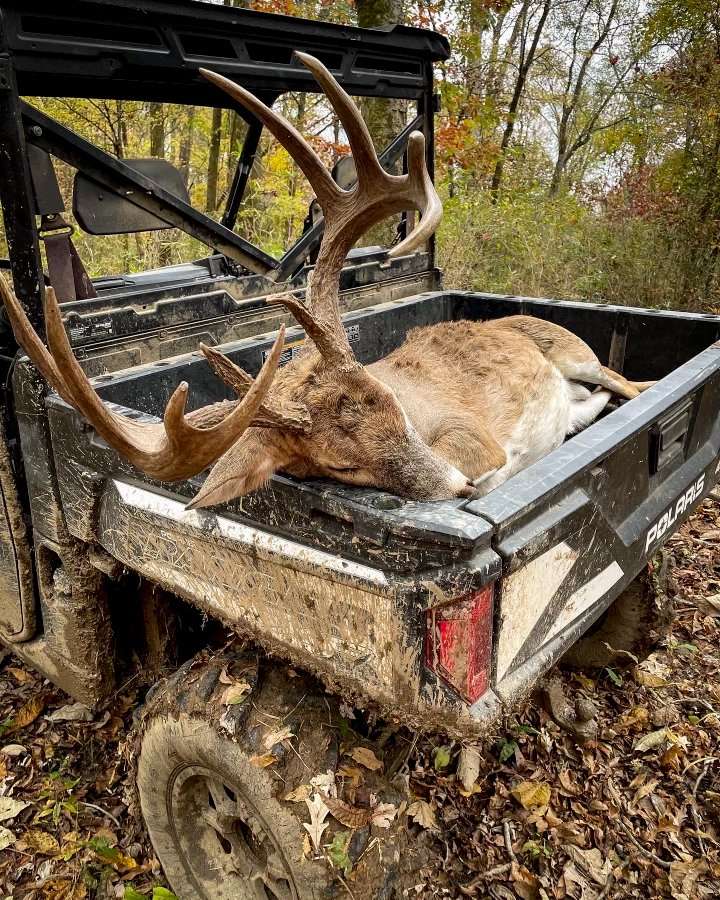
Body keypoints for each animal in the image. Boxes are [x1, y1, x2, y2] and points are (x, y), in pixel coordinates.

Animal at [0, 52, 655, 510]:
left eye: (392, 405)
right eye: (343, 467)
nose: (460, 491)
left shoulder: (471, 433)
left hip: (575, 350)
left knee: (630, 382)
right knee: (603, 399)